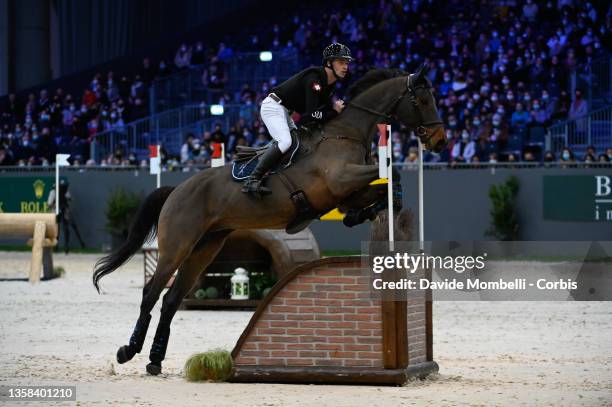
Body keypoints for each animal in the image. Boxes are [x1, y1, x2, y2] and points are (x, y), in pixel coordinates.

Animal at [92, 64, 444, 376]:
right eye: (423, 100)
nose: (439, 140)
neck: (346, 134)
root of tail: (177, 189)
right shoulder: (340, 180)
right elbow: (390, 174)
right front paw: (379, 207)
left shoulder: (346, 192)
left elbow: (381, 187)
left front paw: (372, 212)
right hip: (177, 245)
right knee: (151, 293)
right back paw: (128, 351)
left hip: (205, 247)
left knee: (171, 299)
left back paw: (155, 361)